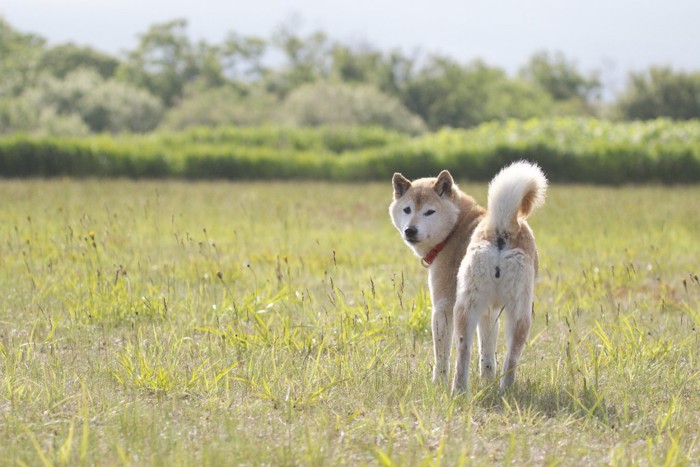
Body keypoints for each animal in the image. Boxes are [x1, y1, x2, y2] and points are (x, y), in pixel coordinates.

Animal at [388, 161, 548, 394]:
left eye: (429, 212)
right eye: (407, 209)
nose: (410, 230)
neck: (455, 229)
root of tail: (501, 228)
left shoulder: (443, 307)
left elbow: (442, 355)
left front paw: (438, 383)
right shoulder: (490, 312)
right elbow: (487, 354)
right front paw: (487, 380)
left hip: (464, 309)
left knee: (463, 353)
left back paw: (459, 391)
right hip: (520, 313)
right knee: (512, 357)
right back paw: (505, 392)